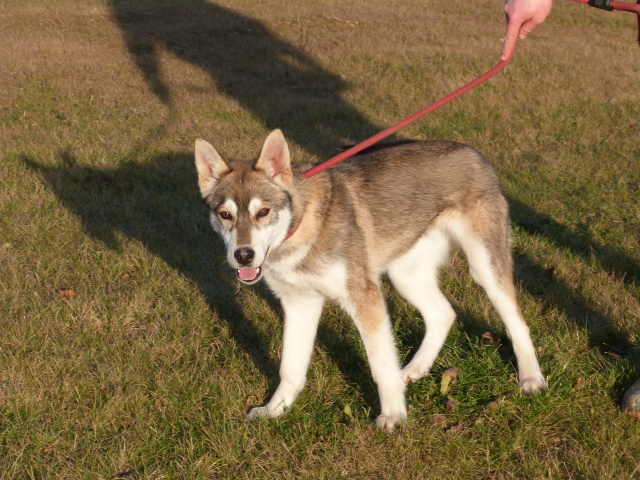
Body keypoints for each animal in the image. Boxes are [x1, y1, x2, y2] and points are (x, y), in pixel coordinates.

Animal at [195, 129, 544, 434]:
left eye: (263, 212)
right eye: (225, 215)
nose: (244, 255)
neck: (300, 225)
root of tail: (474, 153)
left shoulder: (364, 298)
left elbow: (379, 366)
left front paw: (394, 416)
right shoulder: (299, 304)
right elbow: (290, 368)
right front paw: (276, 410)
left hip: (485, 268)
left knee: (517, 323)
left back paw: (531, 378)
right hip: (405, 275)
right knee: (444, 314)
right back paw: (416, 368)